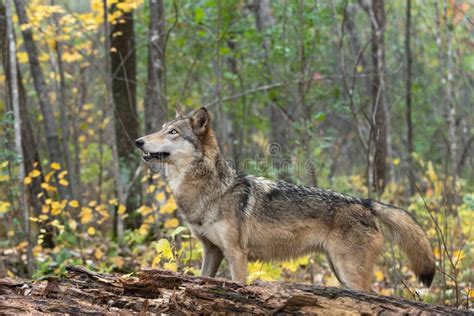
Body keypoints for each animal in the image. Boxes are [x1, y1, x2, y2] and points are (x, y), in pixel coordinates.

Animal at [135, 107, 436, 292]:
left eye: (173, 132)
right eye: (162, 128)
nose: (138, 141)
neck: (211, 190)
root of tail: (365, 202)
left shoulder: (237, 253)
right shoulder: (212, 251)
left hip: (348, 272)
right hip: (339, 270)